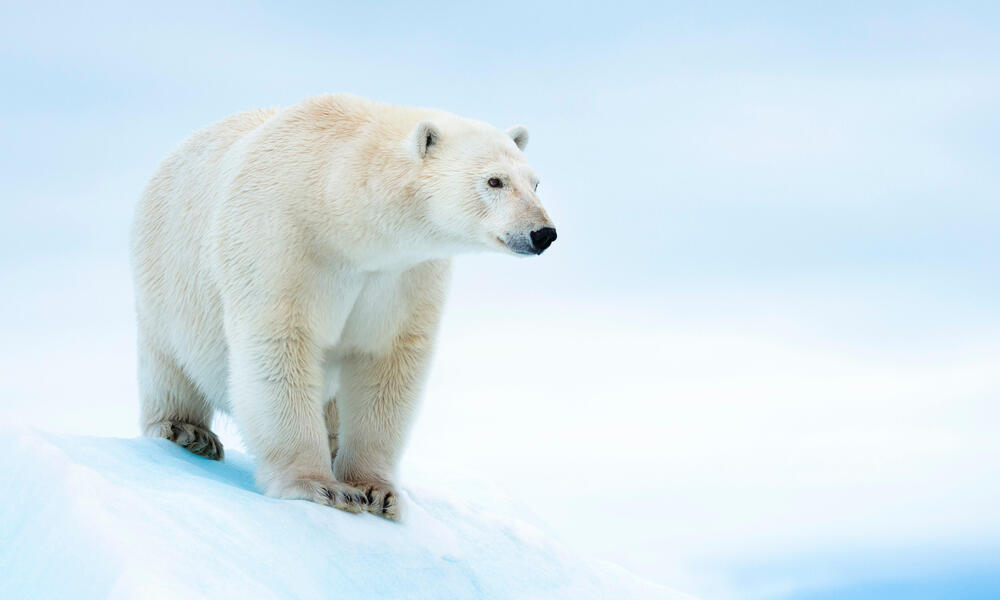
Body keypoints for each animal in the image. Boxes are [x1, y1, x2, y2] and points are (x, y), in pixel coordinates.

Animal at [132, 94, 556, 520]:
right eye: (494, 181)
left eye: (535, 182)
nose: (543, 233)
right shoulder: (280, 242)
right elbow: (279, 347)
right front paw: (320, 486)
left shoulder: (403, 275)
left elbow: (389, 364)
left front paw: (377, 492)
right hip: (167, 274)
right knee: (168, 363)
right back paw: (188, 431)